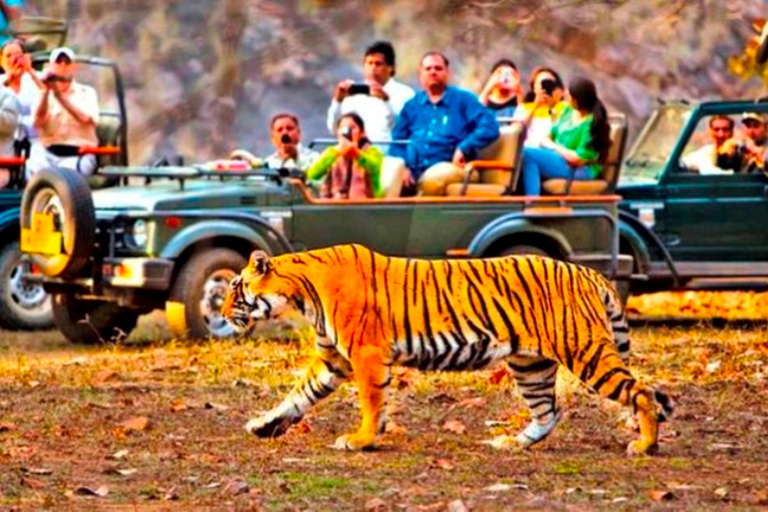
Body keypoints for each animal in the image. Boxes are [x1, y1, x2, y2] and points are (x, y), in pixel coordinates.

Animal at [222, 244, 672, 456]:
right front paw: (263, 425)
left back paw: (645, 446)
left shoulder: (365, 354)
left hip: (584, 350)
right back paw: (512, 443)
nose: (223, 313)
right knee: (549, 411)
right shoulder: (333, 359)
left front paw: (362, 439)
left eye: (236, 288)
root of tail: (588, 271)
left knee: (641, 393)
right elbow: (298, 395)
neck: (302, 293)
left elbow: (371, 402)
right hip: (531, 364)